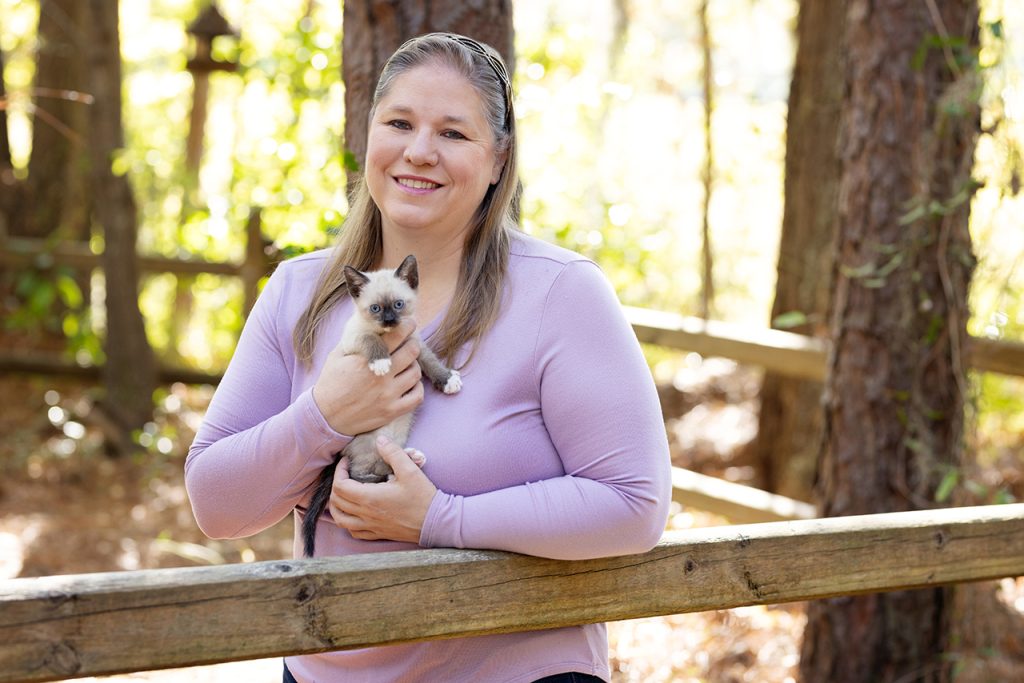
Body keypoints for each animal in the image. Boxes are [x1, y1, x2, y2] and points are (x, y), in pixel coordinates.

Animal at [299, 253, 460, 557]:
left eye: (398, 304)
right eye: (375, 309)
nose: (388, 320)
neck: (390, 338)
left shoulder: (415, 344)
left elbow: (431, 362)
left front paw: (448, 381)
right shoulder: (354, 341)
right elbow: (370, 339)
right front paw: (382, 362)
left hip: (388, 440)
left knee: (379, 466)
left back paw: (411, 458)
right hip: (369, 442)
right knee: (357, 474)